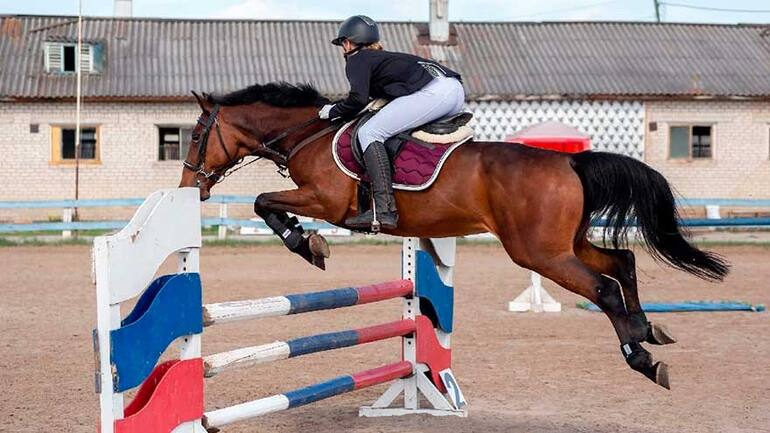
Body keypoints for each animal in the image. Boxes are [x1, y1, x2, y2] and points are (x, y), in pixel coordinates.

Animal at [178, 81, 728, 388]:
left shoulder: (326, 201)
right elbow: (266, 203)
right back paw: (649, 329)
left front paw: (307, 245)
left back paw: (642, 357)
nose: (187, 187)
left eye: (198, 134)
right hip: (561, 244)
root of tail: (568, 160)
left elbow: (264, 202)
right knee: (621, 263)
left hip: (538, 252)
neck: (306, 134)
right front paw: (309, 244)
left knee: (603, 288)